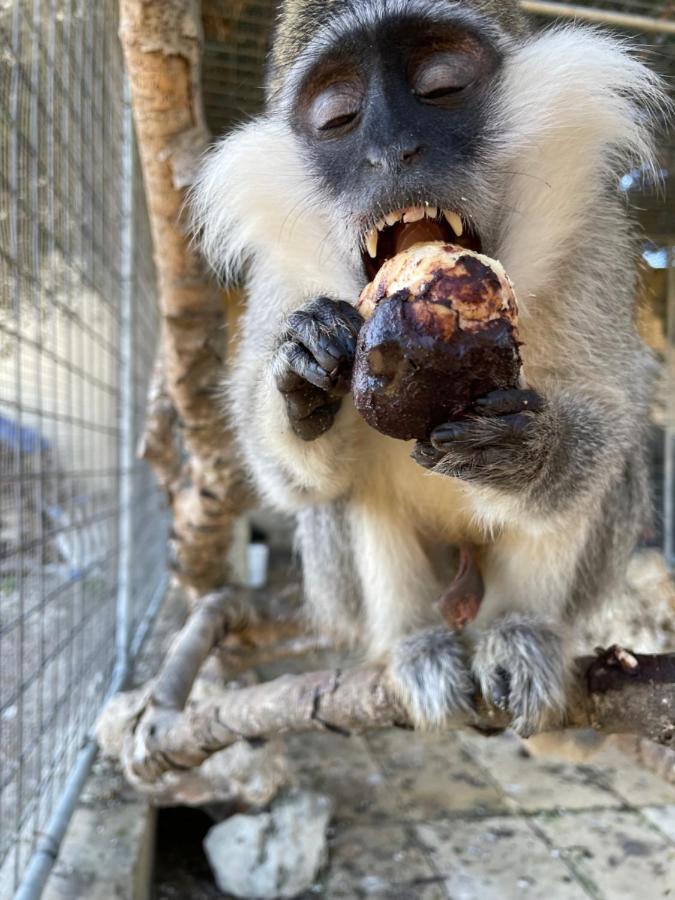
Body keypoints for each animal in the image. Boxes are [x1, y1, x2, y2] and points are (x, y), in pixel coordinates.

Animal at [193, 0, 668, 736]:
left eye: (440, 87)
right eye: (338, 117)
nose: (393, 152)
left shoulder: (595, 249)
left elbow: (610, 421)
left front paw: (527, 453)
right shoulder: (276, 282)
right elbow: (291, 481)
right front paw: (301, 374)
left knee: (604, 478)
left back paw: (522, 633)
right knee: (349, 496)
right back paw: (416, 646)